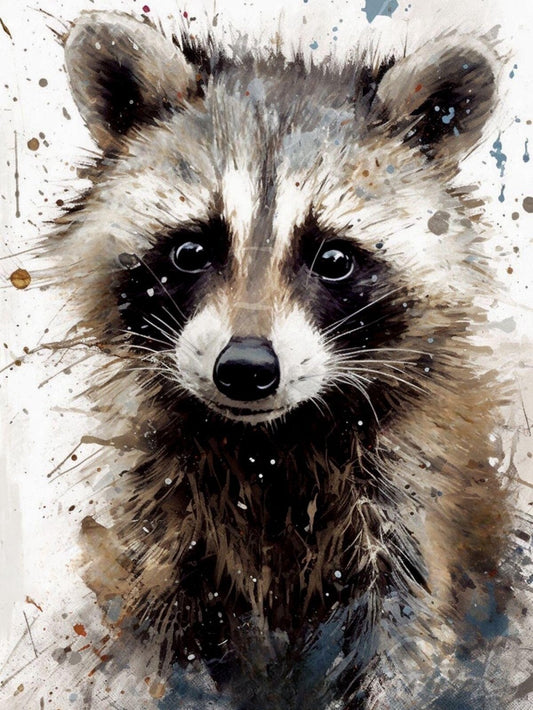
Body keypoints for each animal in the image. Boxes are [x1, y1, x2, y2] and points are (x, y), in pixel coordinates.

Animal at [48, 10, 515, 709]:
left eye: (334, 258)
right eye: (191, 250)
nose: (245, 368)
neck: (268, 447)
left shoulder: (417, 496)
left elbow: (406, 634)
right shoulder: (162, 519)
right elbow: (148, 635)